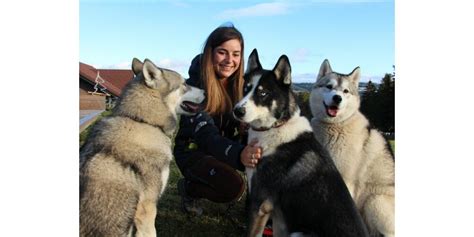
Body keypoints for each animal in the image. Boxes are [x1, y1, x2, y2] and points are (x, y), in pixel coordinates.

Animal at [235, 48, 368, 237]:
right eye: (246, 89)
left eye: (263, 93)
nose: (237, 111)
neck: (274, 127)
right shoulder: (278, 217)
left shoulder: (261, 204)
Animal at [310, 58, 394, 235]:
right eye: (329, 86)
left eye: (346, 91)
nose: (337, 98)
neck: (335, 127)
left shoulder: (345, 180)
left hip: (374, 200)